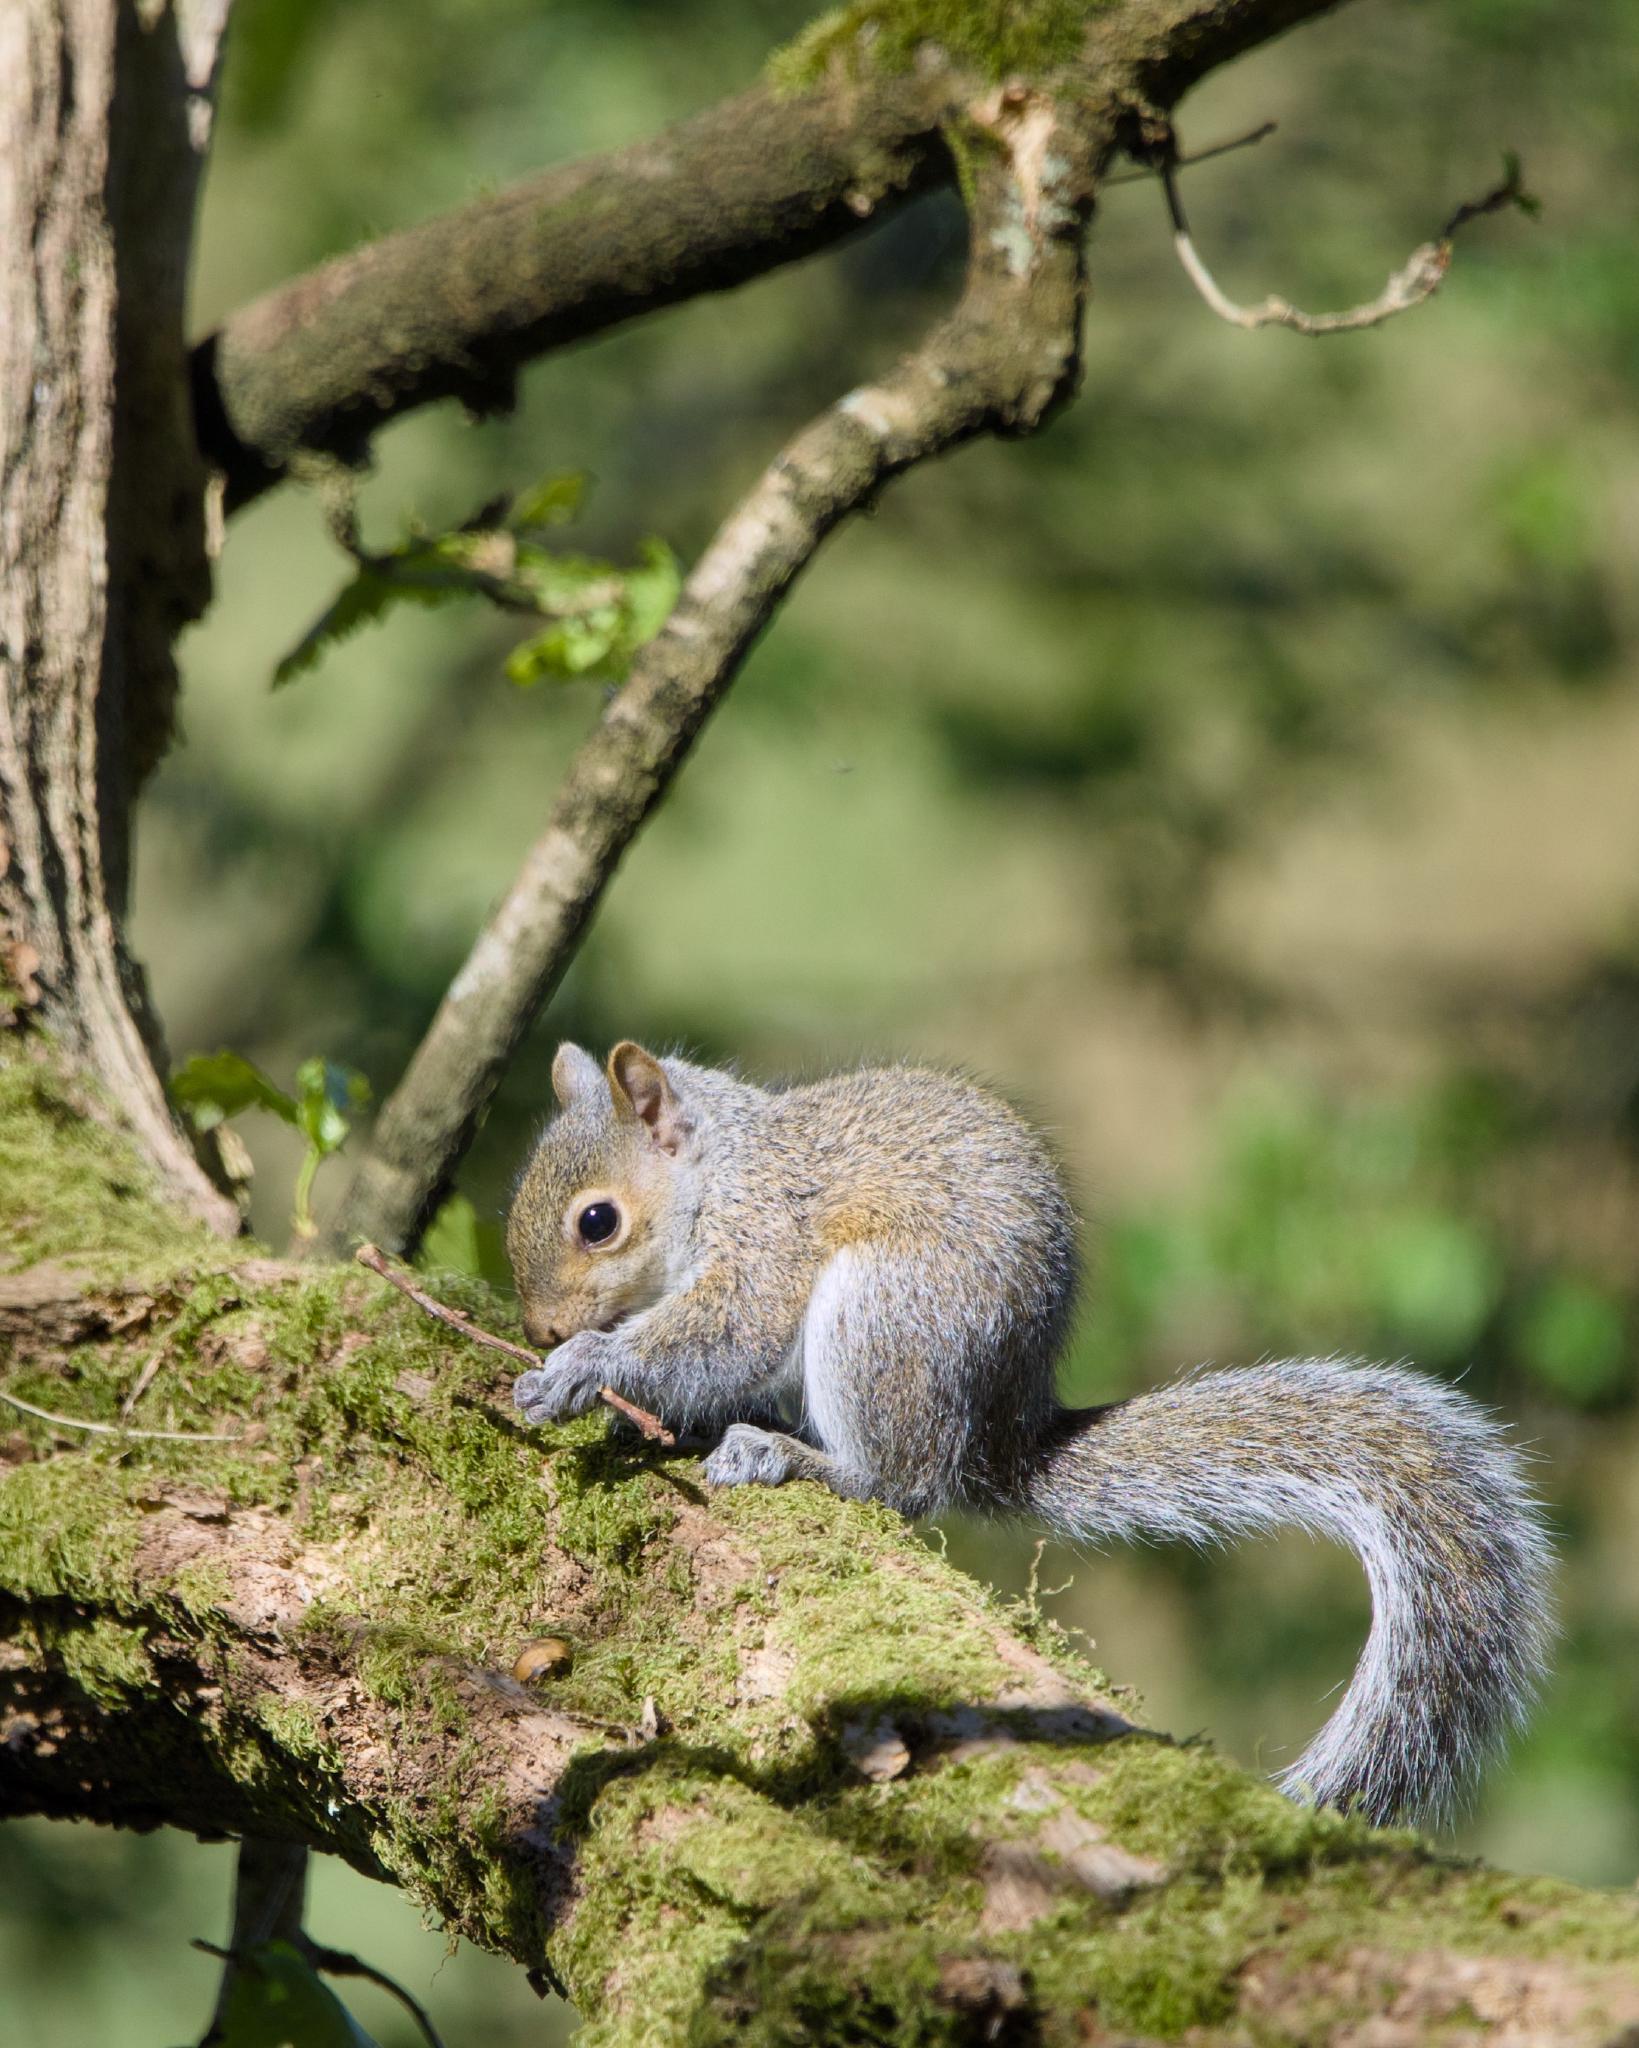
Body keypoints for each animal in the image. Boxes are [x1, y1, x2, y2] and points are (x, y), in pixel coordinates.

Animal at [507, 1040, 1552, 1825]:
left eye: (597, 1221)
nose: (544, 1328)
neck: (718, 1170)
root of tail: (1001, 1432)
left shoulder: (764, 1242)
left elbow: (725, 1330)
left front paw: (586, 1368)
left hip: (884, 1315)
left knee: (904, 1482)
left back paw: (795, 1457)